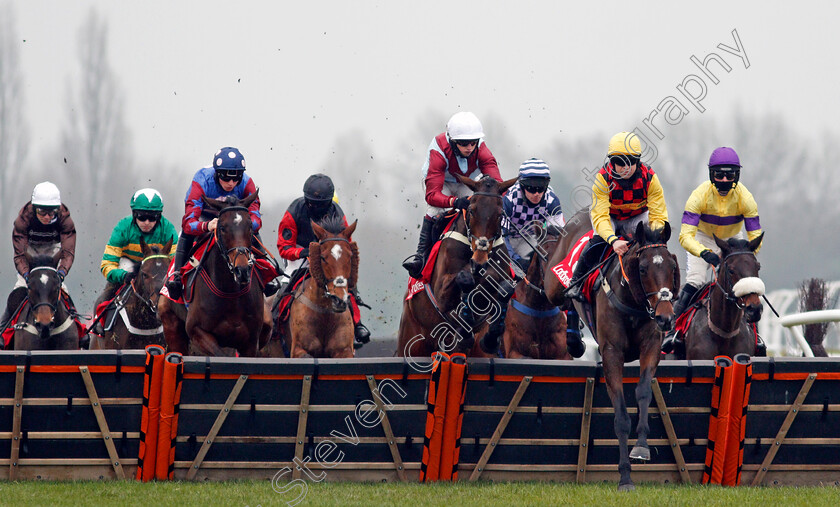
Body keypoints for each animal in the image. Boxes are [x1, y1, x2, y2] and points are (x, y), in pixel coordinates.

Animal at [159, 193, 270, 358]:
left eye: (250, 226)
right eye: (222, 227)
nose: (242, 270)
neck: (230, 293)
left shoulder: (250, 342)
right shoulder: (197, 331)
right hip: (171, 326)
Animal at [396, 177, 520, 360]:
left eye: (500, 214)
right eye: (472, 210)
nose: (479, 261)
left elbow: (505, 288)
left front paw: (490, 338)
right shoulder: (441, 294)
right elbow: (464, 279)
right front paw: (465, 330)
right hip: (412, 340)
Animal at [544, 208, 684, 490]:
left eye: (672, 267)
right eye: (643, 269)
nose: (665, 318)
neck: (630, 300)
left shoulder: (651, 347)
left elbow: (643, 393)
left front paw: (641, 448)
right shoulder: (611, 353)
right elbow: (620, 416)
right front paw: (625, 477)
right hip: (552, 284)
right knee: (562, 297)